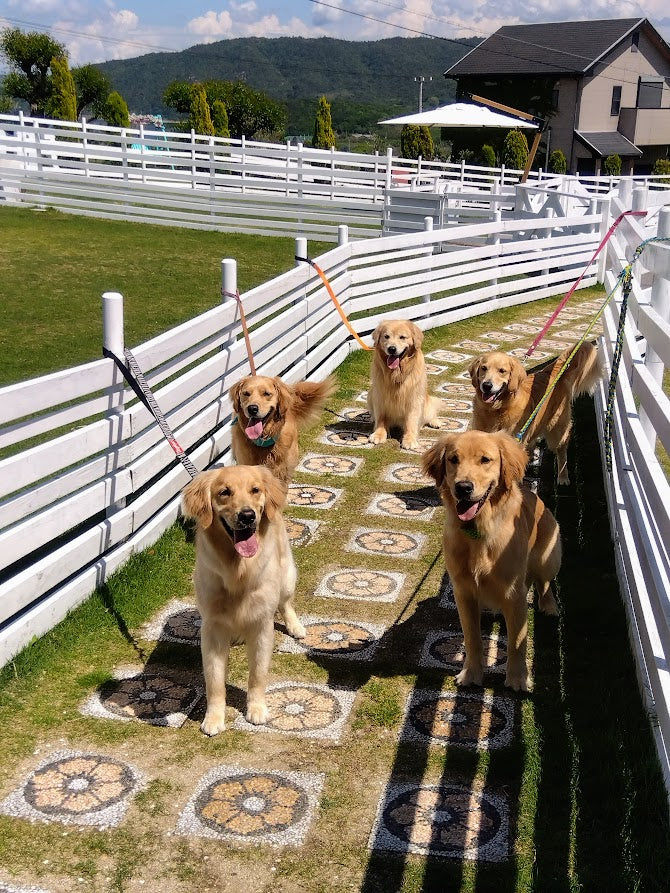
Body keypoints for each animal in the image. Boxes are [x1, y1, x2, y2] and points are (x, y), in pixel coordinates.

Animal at [181, 464, 308, 736]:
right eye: (224, 492)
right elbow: (215, 681)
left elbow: (257, 674)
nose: (248, 515)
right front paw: (214, 718)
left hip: (286, 574)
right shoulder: (212, 628)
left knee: (286, 603)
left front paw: (257, 709)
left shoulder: (262, 625)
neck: (238, 570)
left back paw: (295, 626)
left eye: (255, 490)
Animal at [368, 318, 440, 450]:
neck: (396, 374)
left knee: (430, 413)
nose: (391, 349)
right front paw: (378, 434)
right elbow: (381, 419)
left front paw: (410, 439)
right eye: (386, 336)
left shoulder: (414, 399)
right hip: (370, 394)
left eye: (402, 337)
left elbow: (411, 421)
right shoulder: (379, 396)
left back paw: (435, 422)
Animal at [426, 428, 560, 692]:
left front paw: (517, 678)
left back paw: (549, 605)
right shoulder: (463, 592)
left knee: (544, 582)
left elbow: (517, 642)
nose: (463, 487)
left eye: (485, 460)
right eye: (453, 459)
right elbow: (472, 639)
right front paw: (471, 673)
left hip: (549, 555)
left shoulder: (514, 593)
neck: (478, 531)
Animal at [470, 340, 608, 480]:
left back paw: (563, 477)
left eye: (502, 371)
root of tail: (552, 371)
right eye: (484, 368)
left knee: (561, 450)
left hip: (556, 429)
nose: (487, 385)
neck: (496, 409)